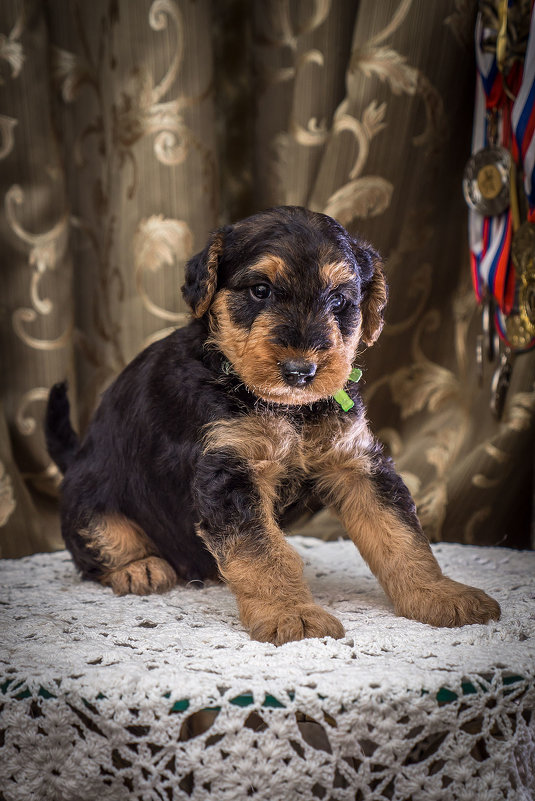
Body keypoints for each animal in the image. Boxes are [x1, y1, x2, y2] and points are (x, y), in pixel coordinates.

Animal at [46, 206, 502, 644]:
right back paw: (138, 567)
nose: (301, 371)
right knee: (98, 541)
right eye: (260, 290)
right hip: (91, 496)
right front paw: (292, 615)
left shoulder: (357, 464)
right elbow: (263, 553)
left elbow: (401, 534)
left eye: (339, 301)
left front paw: (439, 594)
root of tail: (77, 456)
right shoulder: (230, 472)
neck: (287, 410)